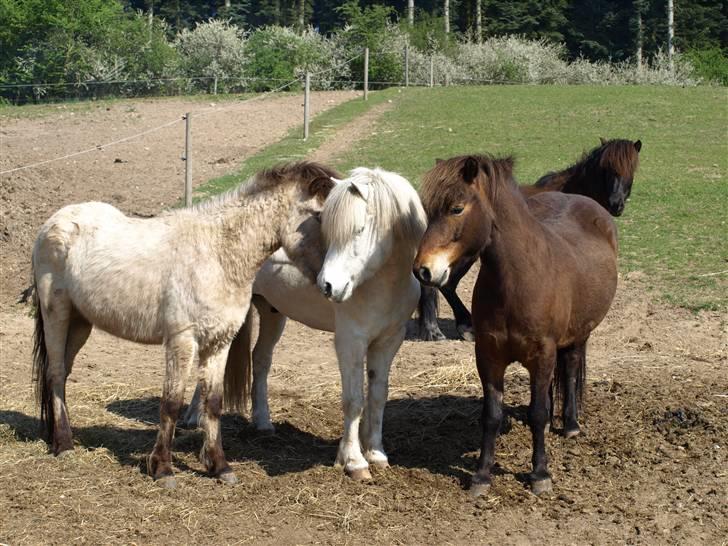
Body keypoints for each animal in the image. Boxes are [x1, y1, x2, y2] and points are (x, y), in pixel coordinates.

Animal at [28, 160, 336, 484]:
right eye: (319, 216)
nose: (330, 283)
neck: (217, 254)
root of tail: (54, 222)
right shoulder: (182, 340)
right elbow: (172, 402)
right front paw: (162, 468)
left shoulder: (219, 342)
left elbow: (213, 402)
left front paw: (220, 466)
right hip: (57, 314)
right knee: (56, 373)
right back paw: (64, 444)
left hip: (80, 322)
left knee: (62, 372)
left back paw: (59, 436)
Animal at [185, 165, 430, 476]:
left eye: (360, 230)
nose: (328, 285)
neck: (381, 284)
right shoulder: (350, 341)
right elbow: (354, 400)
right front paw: (353, 461)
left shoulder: (389, 340)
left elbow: (377, 395)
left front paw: (376, 453)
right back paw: (193, 417)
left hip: (272, 313)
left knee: (260, 359)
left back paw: (263, 423)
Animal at [412, 152, 616, 492]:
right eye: (428, 210)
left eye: (456, 208)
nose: (422, 270)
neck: (517, 281)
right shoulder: (488, 356)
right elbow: (492, 414)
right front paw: (481, 475)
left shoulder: (543, 354)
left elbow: (538, 413)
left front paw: (540, 474)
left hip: (580, 333)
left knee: (571, 367)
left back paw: (571, 424)